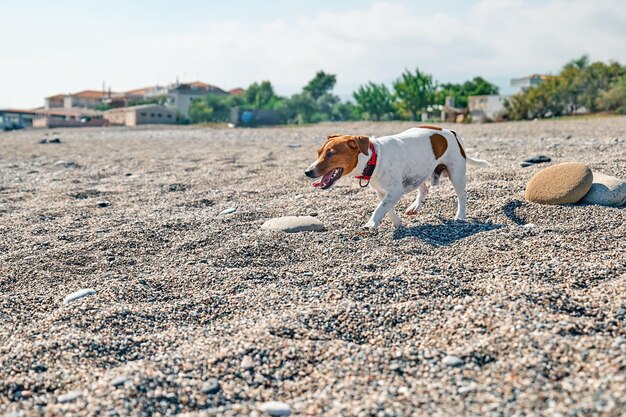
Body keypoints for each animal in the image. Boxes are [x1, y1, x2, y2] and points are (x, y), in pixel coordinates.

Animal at [304, 125, 490, 229]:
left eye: (331, 154)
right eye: (319, 152)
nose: (308, 172)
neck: (375, 157)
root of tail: (450, 131)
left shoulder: (394, 191)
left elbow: (380, 208)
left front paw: (371, 224)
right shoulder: (383, 192)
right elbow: (387, 208)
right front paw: (398, 224)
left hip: (456, 173)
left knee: (462, 196)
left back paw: (460, 216)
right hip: (420, 170)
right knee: (424, 189)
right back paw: (415, 207)